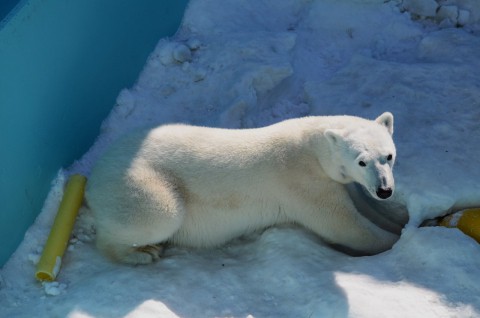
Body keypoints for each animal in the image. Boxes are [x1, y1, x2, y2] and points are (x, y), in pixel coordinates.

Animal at [85, 112, 398, 264]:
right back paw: (141, 253)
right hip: (140, 183)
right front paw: (396, 240)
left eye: (389, 155)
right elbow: (344, 225)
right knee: (160, 213)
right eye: (361, 161)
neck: (311, 145)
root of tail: (95, 175)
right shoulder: (301, 181)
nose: (384, 190)